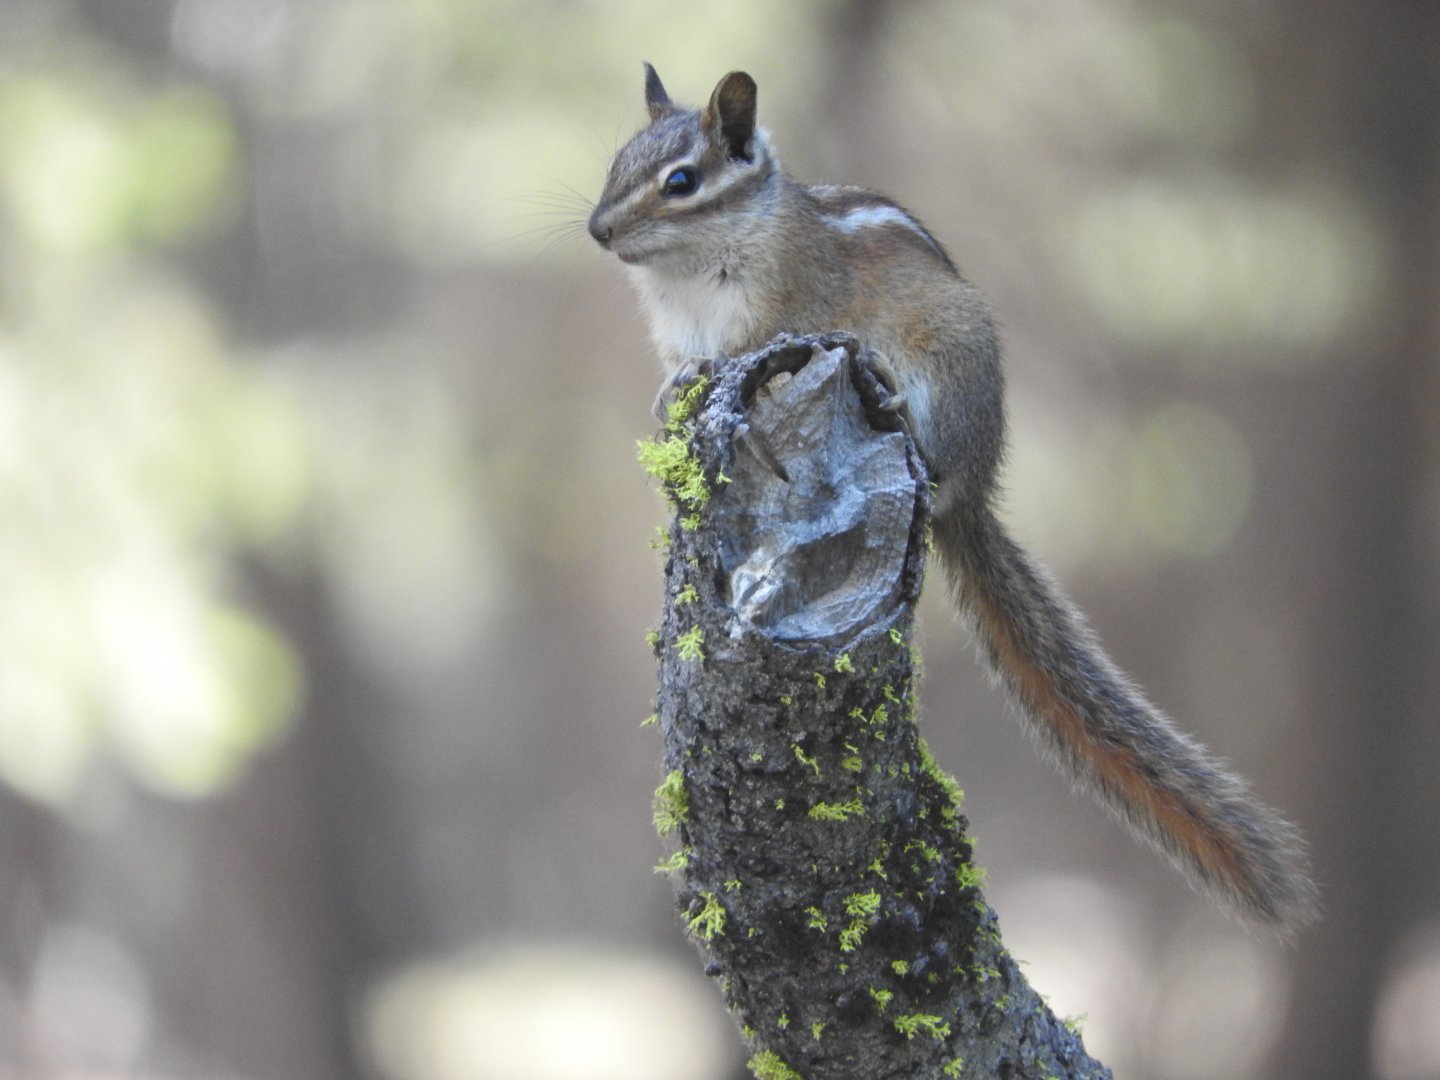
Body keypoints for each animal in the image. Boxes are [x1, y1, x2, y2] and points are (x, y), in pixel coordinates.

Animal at [589, 65, 1319, 933]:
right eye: (617, 162)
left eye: (681, 181)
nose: (598, 230)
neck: (693, 273)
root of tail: (976, 494)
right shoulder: (677, 331)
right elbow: (683, 371)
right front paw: (675, 392)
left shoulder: (778, 308)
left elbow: (752, 346)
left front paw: (714, 374)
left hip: (944, 365)